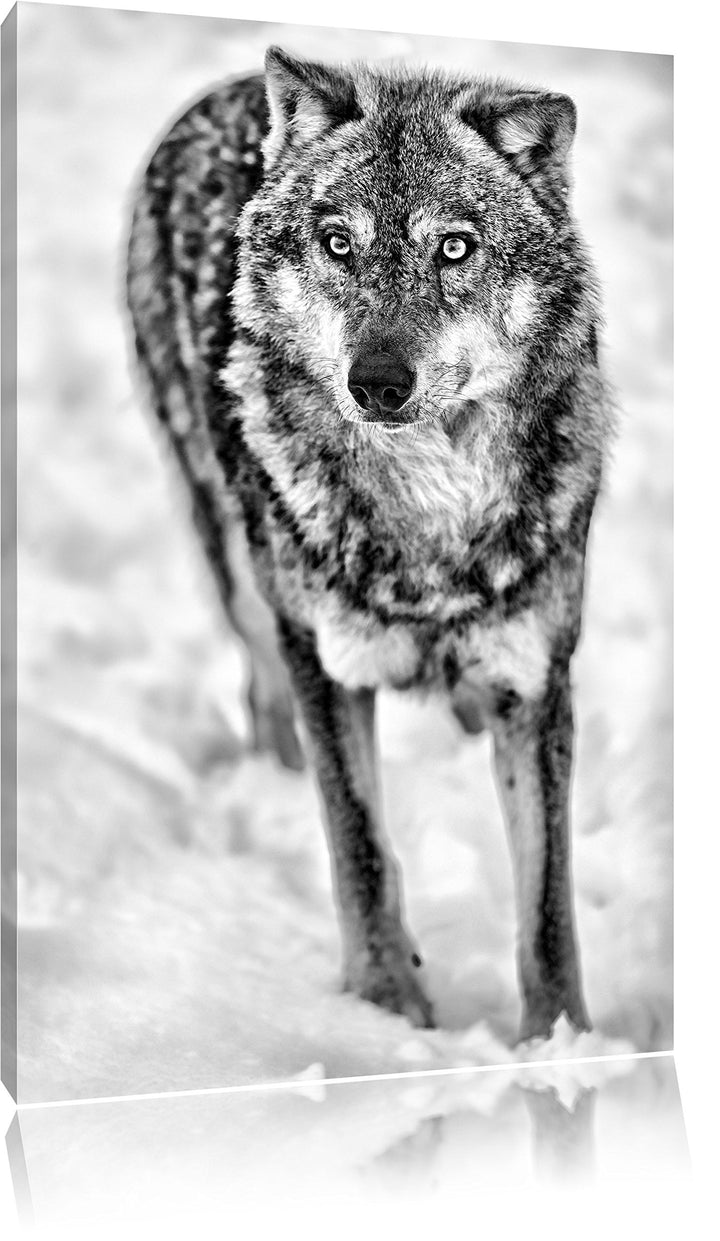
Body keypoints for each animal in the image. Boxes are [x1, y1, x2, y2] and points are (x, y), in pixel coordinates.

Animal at [126, 46, 614, 1041]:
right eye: (339, 244)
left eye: (454, 247)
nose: (379, 382)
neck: (429, 520)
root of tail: (237, 86)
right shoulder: (329, 666)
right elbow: (360, 851)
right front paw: (386, 1016)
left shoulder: (537, 679)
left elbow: (547, 909)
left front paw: (561, 1049)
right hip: (242, 574)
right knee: (261, 689)